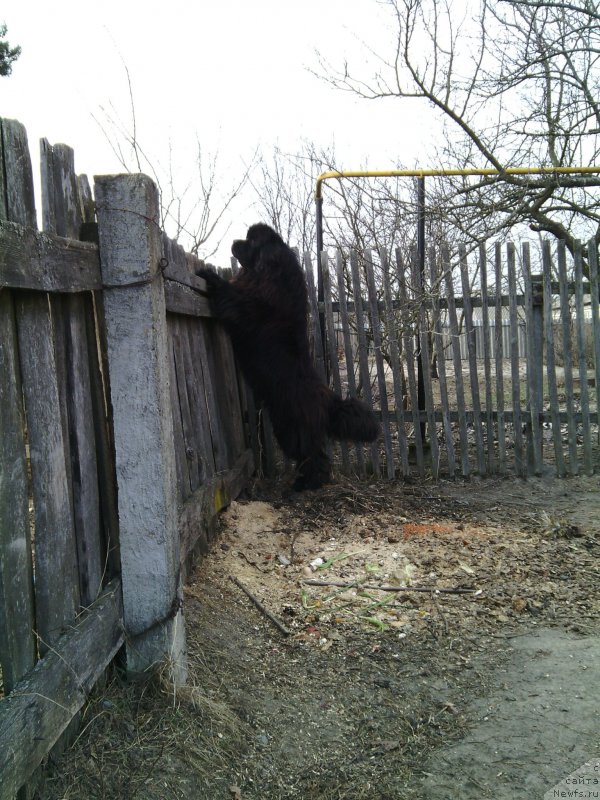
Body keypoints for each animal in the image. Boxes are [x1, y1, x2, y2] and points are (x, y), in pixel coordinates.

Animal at [197, 222, 380, 490]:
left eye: (252, 241)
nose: (234, 241)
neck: (274, 276)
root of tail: (327, 399)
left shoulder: (247, 307)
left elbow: (230, 296)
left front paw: (209, 275)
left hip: (291, 429)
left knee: (315, 458)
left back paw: (304, 485)